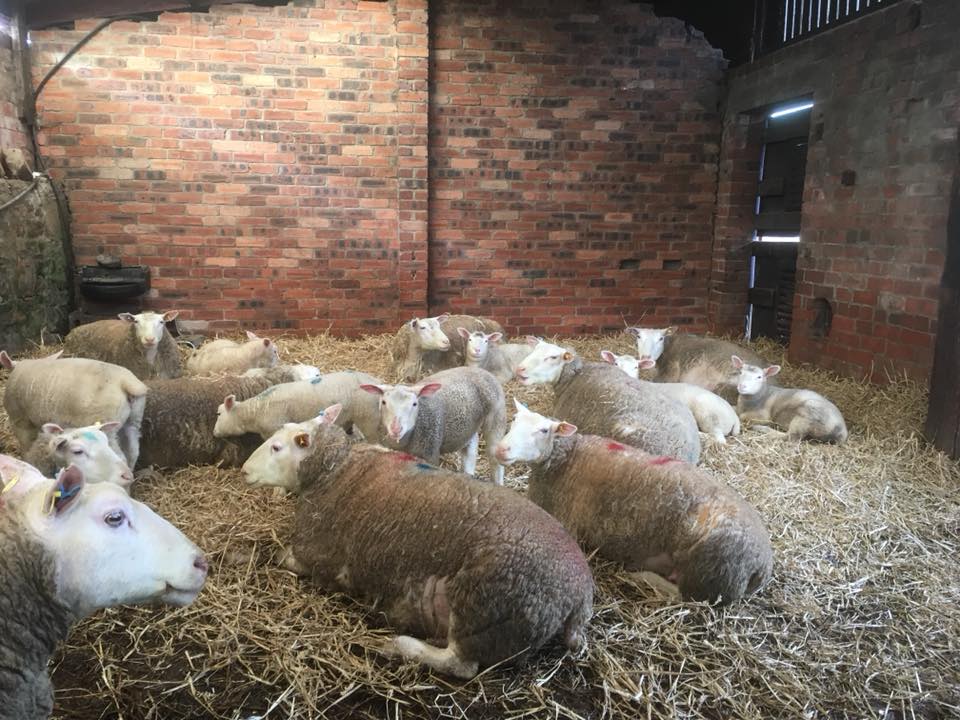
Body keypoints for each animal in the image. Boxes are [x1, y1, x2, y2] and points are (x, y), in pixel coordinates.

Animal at [2, 354, 148, 468]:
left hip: (106, 423)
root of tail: (126, 383)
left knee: (119, 457)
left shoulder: (20, 421)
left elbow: (26, 448)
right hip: (134, 419)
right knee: (133, 452)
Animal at [214, 370, 383, 440]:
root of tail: (379, 385)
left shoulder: (275, 428)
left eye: (219, 414)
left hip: (369, 419)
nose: (214, 433)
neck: (256, 411)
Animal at [240, 408, 593, 679]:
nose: (244, 471)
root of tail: (580, 595)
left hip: (482, 608)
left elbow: (281, 556)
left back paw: (400, 644)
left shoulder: (316, 554)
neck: (336, 467)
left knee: (460, 664)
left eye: (276, 448)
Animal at [360, 365, 507, 484]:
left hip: (497, 415)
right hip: (469, 426)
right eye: (383, 402)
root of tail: (481, 370)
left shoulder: (431, 453)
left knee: (494, 458)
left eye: (415, 404)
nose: (396, 429)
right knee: (470, 448)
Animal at [495, 402, 773, 604]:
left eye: (543, 431)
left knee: (688, 598)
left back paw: (642, 576)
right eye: (514, 421)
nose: (501, 450)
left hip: (710, 571)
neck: (567, 460)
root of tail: (763, 566)